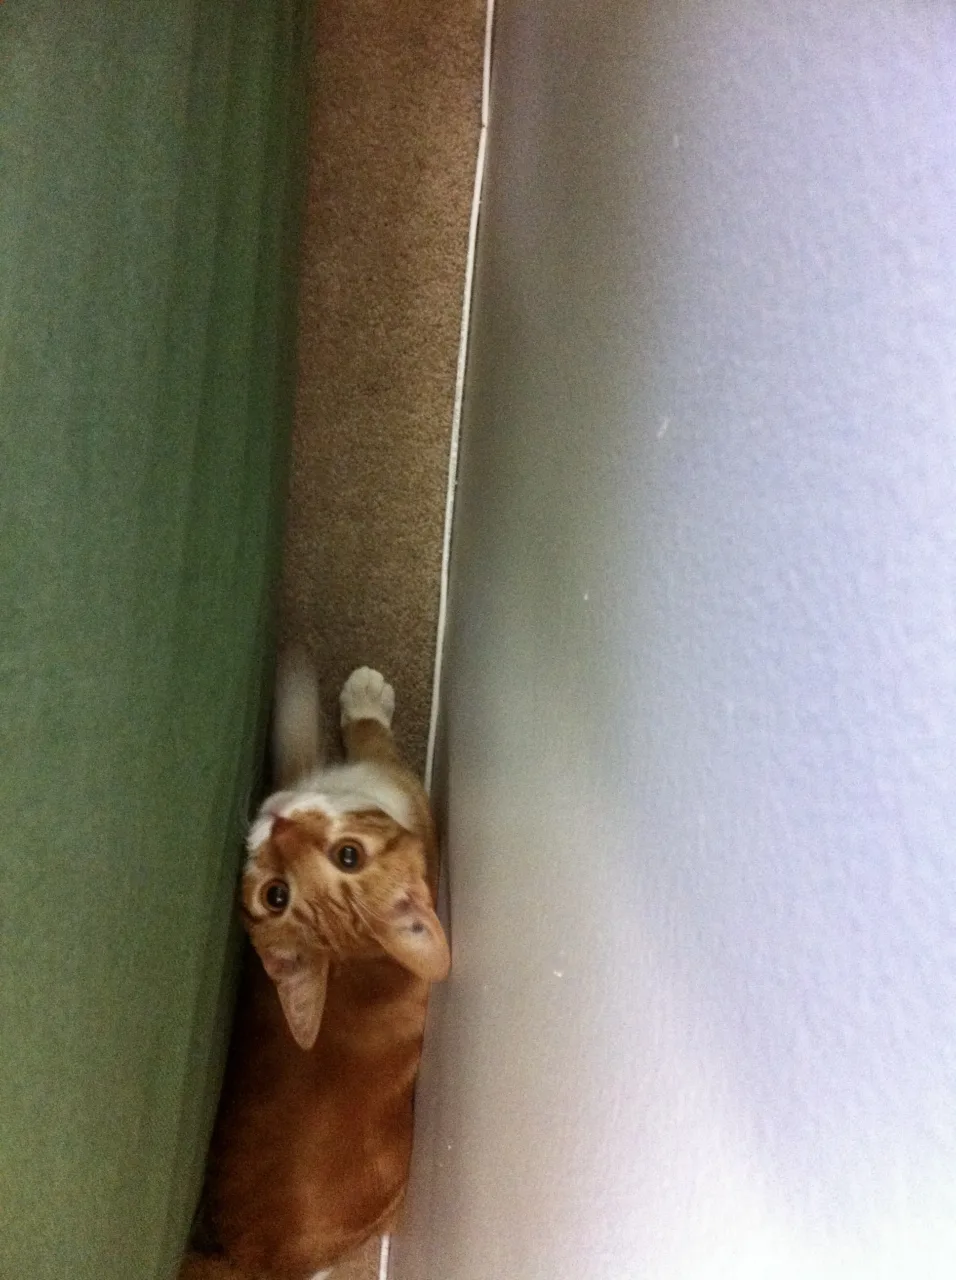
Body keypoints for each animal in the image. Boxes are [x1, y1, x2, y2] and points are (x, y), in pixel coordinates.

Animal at [183, 660, 453, 1280]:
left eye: (347, 856)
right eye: (277, 895)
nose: (280, 823)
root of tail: (248, 1261)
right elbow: (356, 734)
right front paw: (360, 699)